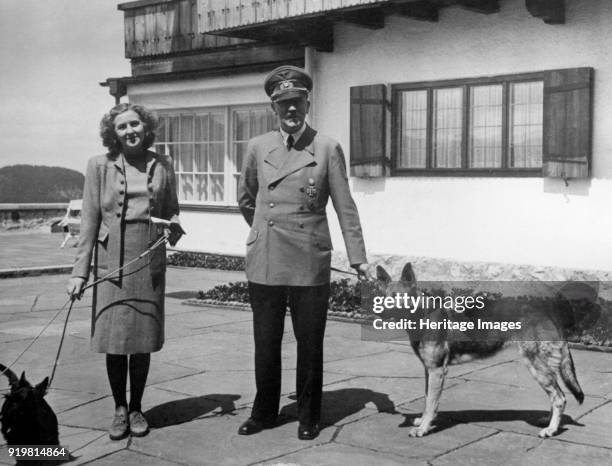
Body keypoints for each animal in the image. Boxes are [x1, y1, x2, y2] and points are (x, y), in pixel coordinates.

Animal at [376, 264, 584, 438]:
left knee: (559, 397)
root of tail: (550, 310)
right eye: (383, 297)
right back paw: (549, 422)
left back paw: (551, 429)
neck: (422, 314)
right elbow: (428, 399)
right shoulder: (429, 371)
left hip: (535, 366)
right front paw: (424, 422)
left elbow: (431, 403)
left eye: (397, 297)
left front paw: (423, 428)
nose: (379, 312)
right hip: (542, 368)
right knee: (555, 395)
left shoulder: (437, 371)